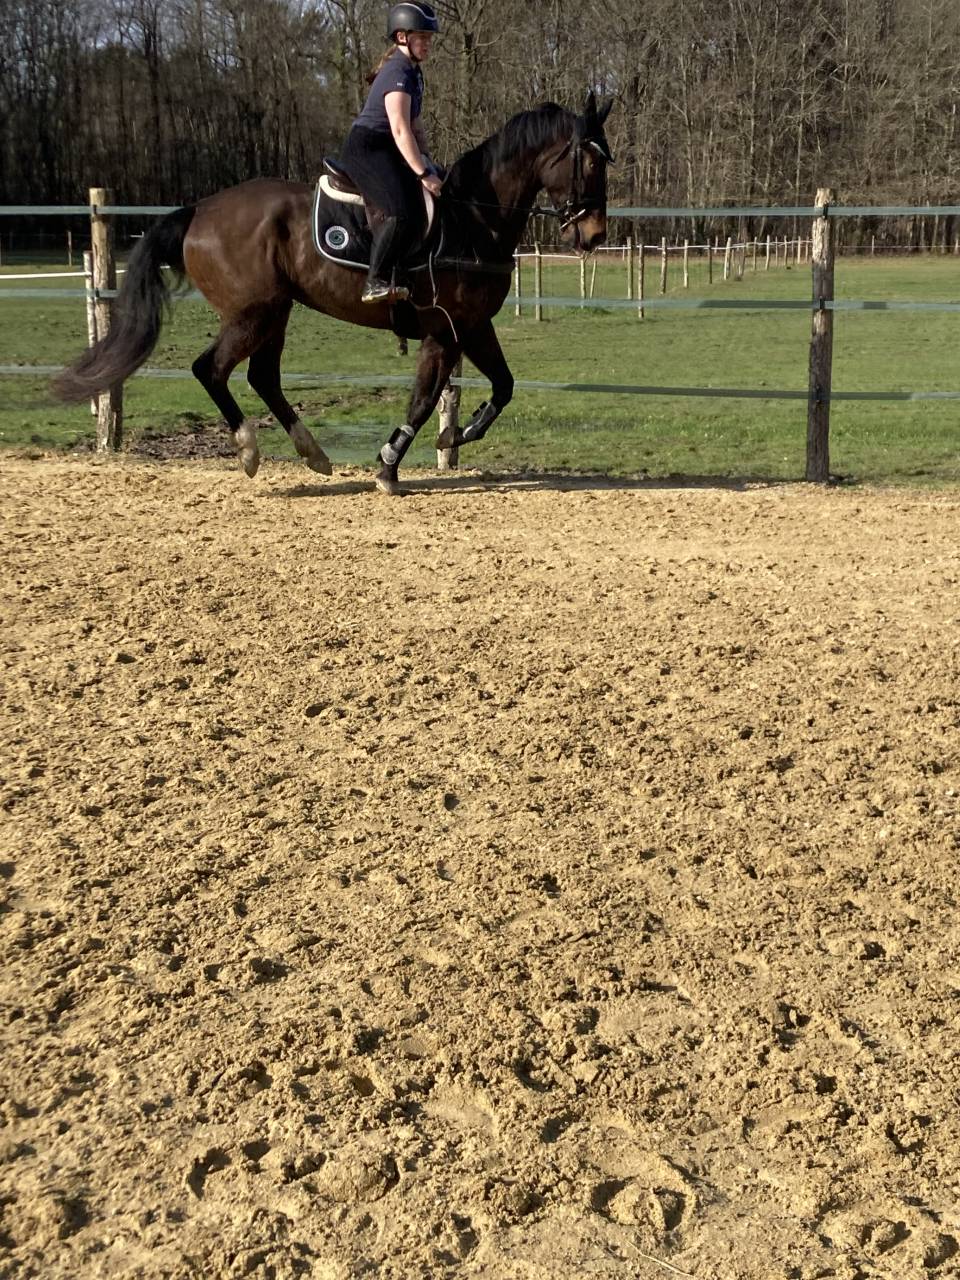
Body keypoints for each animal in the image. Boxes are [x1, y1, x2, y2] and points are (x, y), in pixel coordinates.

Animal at [55, 92, 613, 495]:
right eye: (591, 163)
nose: (594, 235)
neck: (472, 219)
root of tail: (199, 210)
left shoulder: (472, 326)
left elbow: (502, 386)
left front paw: (458, 434)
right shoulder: (445, 331)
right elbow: (423, 401)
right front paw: (389, 467)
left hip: (276, 313)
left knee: (263, 377)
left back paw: (314, 455)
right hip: (254, 313)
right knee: (211, 369)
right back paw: (249, 449)